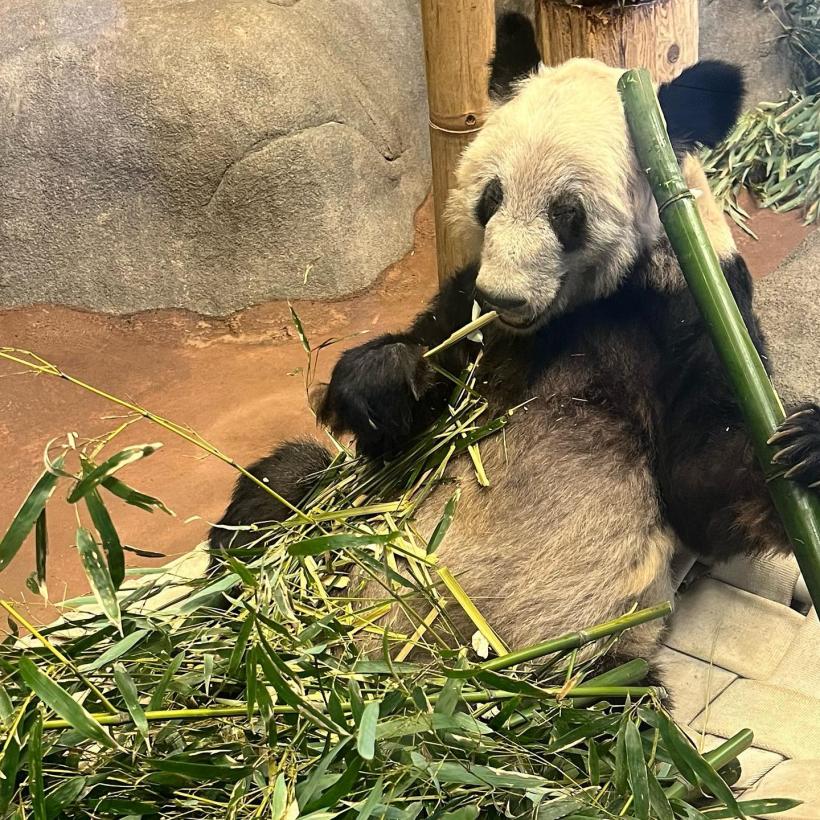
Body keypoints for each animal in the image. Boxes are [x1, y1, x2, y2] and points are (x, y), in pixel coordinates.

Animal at [211, 13, 820, 666]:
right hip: (337, 516)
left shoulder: (692, 301)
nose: (503, 297)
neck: (573, 313)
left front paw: (805, 445)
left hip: (596, 661)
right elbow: (411, 418)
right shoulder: (466, 304)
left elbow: (705, 486)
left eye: (567, 213)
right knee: (280, 486)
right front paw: (384, 378)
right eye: (492, 197)